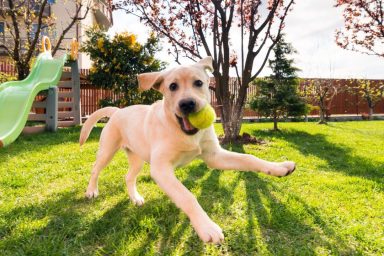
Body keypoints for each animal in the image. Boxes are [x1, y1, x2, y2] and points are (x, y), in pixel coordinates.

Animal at [81, 57, 296, 243]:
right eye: (172, 87)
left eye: (198, 83)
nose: (187, 104)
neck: (183, 131)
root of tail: (118, 110)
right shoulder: (161, 169)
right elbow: (187, 196)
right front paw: (206, 227)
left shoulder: (214, 156)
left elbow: (249, 158)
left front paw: (279, 167)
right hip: (108, 150)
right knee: (94, 169)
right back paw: (91, 191)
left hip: (137, 158)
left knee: (128, 177)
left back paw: (135, 198)